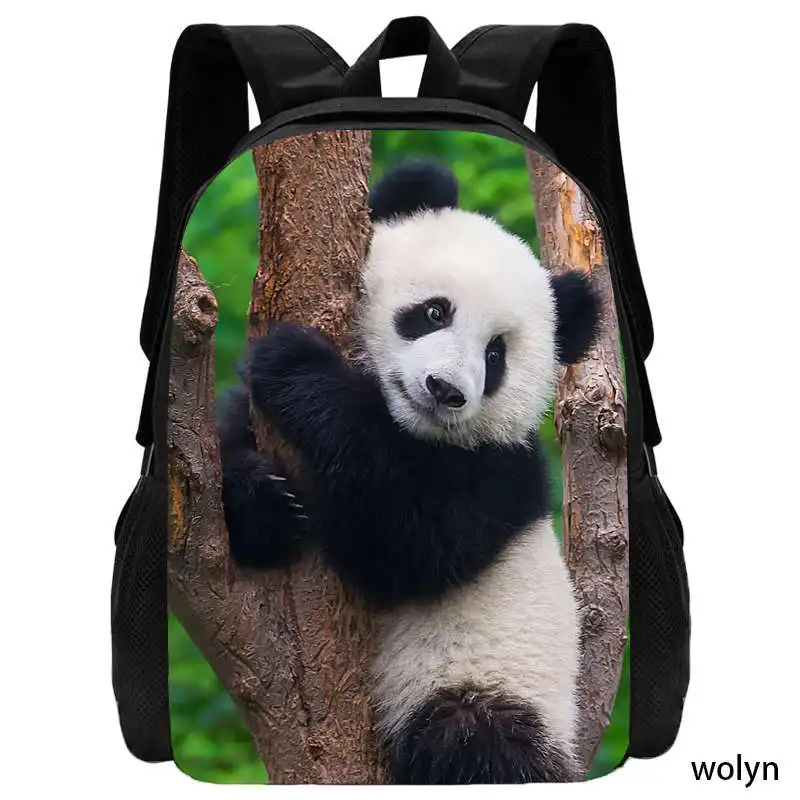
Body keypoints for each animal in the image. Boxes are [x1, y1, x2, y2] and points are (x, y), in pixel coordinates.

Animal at [219, 161, 599, 784]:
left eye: (495, 355)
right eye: (434, 312)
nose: (445, 390)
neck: (409, 429)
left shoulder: (501, 474)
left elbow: (406, 543)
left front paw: (296, 365)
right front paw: (264, 503)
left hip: (488, 684)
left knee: (475, 742)